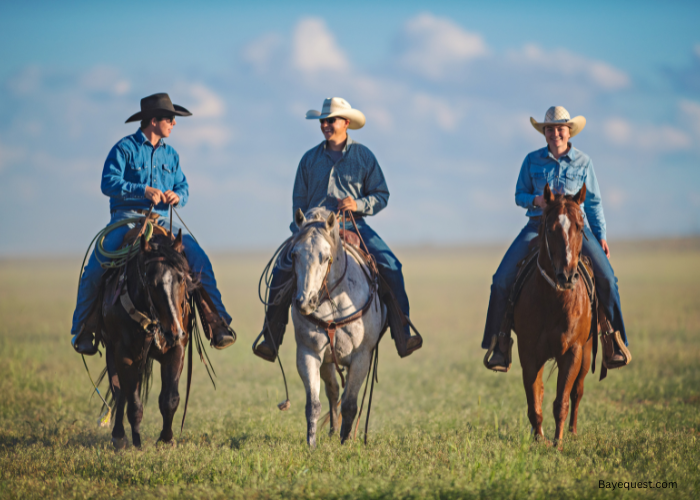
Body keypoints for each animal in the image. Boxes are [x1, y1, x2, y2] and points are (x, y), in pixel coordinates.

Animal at [100, 230, 197, 450]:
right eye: (151, 283)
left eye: (181, 278)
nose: (174, 332)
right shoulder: (123, 354)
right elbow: (132, 400)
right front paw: (136, 442)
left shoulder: (176, 349)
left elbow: (170, 399)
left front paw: (166, 439)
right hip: (111, 351)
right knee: (120, 393)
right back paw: (119, 436)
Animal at [292, 207, 386, 450]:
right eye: (294, 255)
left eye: (325, 257)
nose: (305, 302)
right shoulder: (308, 352)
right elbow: (313, 404)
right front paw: (311, 444)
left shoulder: (362, 357)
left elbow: (350, 404)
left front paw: (345, 443)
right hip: (327, 361)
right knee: (333, 391)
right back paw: (333, 431)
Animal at [512, 183, 592, 446]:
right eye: (551, 228)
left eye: (580, 226)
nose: (566, 276)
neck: (553, 301)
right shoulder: (528, 353)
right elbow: (535, 400)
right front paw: (539, 439)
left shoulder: (573, 352)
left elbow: (562, 401)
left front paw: (558, 443)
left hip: (588, 352)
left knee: (578, 391)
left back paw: (573, 432)